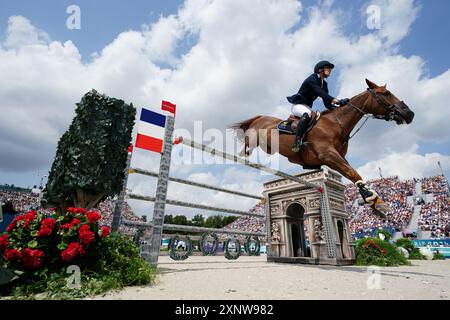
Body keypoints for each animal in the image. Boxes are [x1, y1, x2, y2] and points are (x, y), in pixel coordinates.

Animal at [230, 80, 416, 220]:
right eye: (386, 94)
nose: (410, 114)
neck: (336, 125)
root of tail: (260, 117)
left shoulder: (336, 158)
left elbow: (353, 174)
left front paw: (374, 203)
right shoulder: (329, 156)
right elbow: (353, 173)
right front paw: (376, 200)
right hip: (255, 135)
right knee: (247, 142)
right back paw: (242, 154)